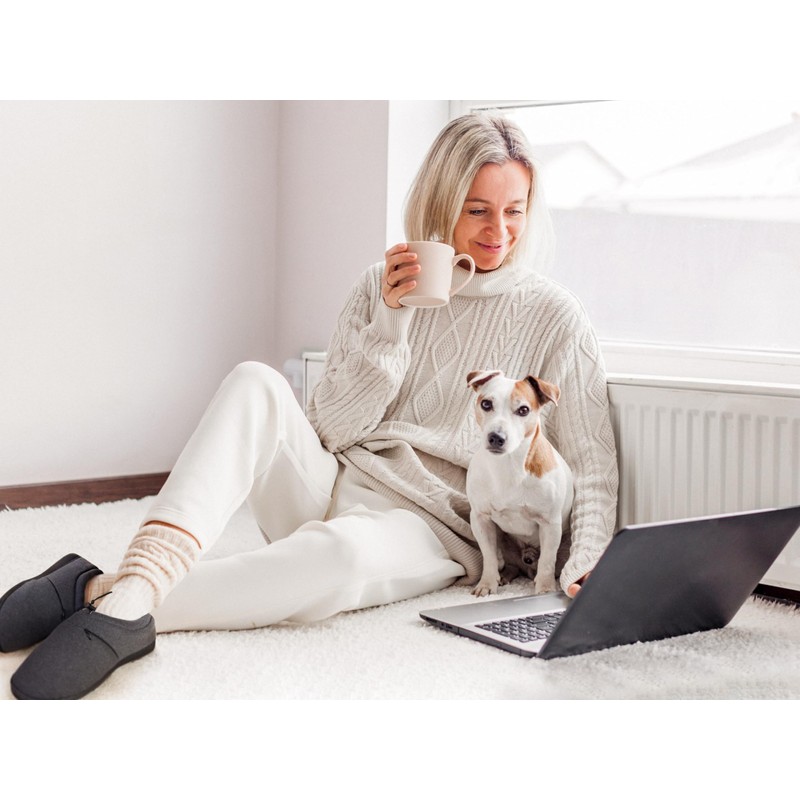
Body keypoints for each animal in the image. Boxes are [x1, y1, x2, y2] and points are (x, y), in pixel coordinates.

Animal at [465, 370, 574, 597]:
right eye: (486, 404)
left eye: (523, 410)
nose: (496, 437)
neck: (508, 465)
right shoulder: (480, 519)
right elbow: (489, 557)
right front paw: (487, 584)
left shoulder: (550, 524)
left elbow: (547, 562)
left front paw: (545, 590)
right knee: (509, 564)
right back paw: (505, 577)